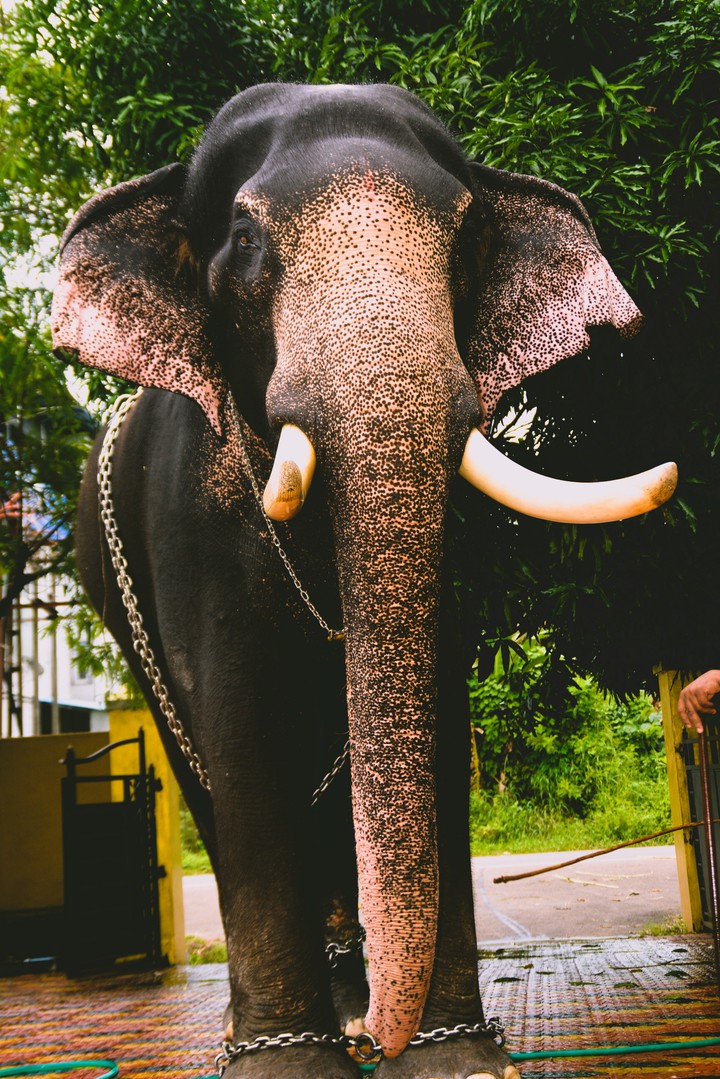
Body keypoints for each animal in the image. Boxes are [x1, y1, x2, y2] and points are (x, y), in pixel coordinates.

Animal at [51, 83, 676, 1079]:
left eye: (468, 237)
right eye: (243, 238)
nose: (386, 1031)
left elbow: (440, 717)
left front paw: (460, 1060)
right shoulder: (188, 518)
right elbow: (242, 727)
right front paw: (287, 1065)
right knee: (201, 776)